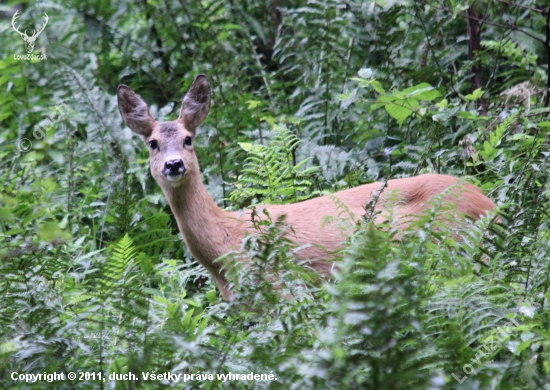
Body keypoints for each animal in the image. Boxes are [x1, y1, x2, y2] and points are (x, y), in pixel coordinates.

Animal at [118, 74, 498, 298]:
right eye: (152, 143)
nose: (174, 164)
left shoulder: (284, 290)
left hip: (457, 247)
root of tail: (488, 202)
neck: (226, 241)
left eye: (188, 139)